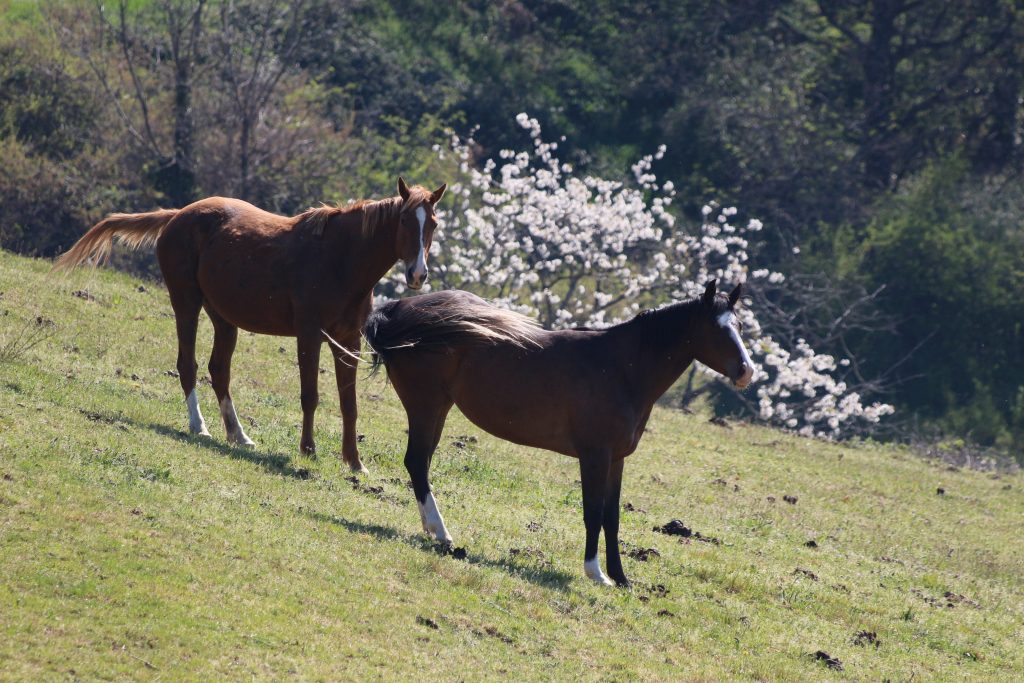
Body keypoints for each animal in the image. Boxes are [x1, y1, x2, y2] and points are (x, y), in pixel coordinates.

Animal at [56, 179, 446, 473]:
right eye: (404, 221)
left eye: (433, 223)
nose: (417, 275)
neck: (339, 259)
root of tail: (178, 215)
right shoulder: (309, 336)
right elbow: (310, 396)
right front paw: (308, 450)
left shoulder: (348, 342)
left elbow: (349, 404)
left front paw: (354, 462)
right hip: (186, 303)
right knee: (188, 365)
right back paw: (200, 427)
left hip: (223, 319)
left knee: (219, 370)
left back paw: (238, 435)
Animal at [364, 282, 757, 589]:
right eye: (716, 328)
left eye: (738, 324)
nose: (747, 371)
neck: (621, 367)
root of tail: (398, 309)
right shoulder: (594, 456)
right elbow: (593, 512)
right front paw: (596, 573)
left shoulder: (616, 459)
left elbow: (612, 517)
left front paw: (621, 578)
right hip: (426, 405)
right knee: (417, 462)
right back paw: (443, 533)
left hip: (438, 408)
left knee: (421, 465)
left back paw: (432, 530)